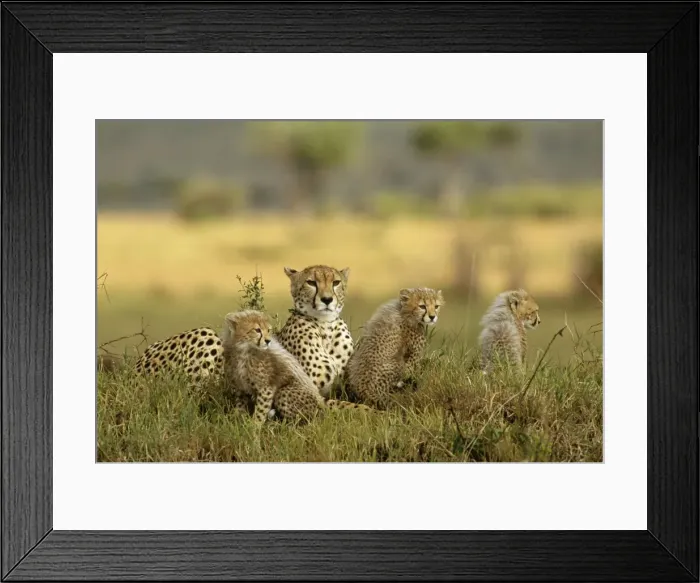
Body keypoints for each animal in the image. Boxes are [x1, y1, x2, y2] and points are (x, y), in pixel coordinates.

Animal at [222, 309, 373, 424]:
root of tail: (319, 398)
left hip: (286, 393)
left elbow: (260, 411)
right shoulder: (241, 387)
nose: (268, 340)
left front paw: (254, 427)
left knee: (311, 418)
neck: (244, 351)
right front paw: (237, 420)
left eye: (268, 330)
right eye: (257, 330)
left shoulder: (267, 388)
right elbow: (240, 405)